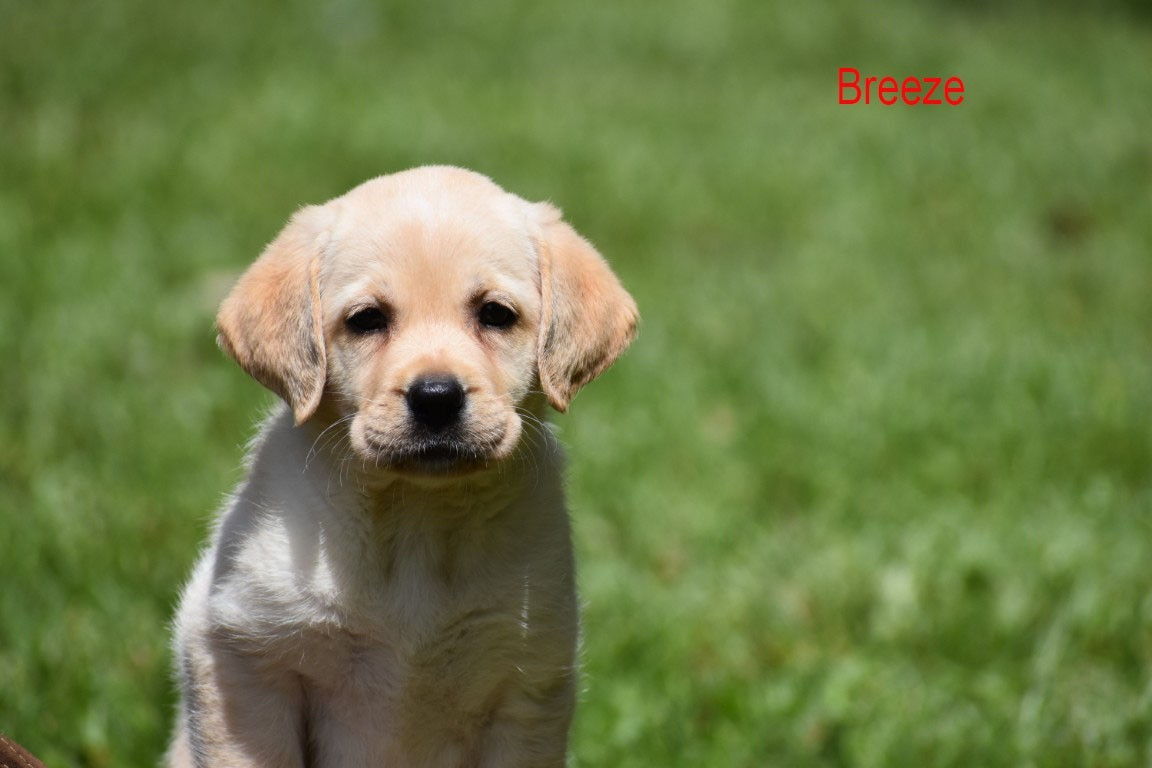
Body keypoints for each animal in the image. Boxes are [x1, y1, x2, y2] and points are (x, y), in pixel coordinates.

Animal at [168, 166, 638, 768]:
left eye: (496, 314)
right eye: (367, 320)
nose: (436, 398)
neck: (417, 520)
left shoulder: (526, 688)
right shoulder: (241, 657)